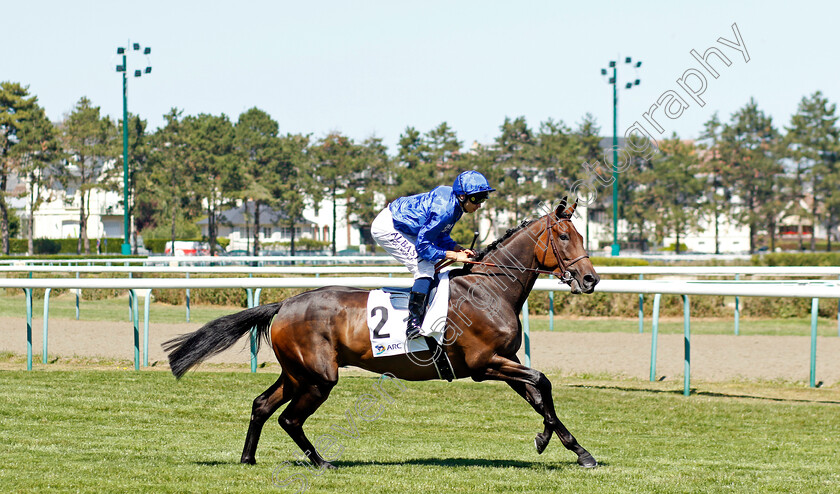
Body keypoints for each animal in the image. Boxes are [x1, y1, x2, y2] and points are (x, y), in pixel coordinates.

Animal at [162, 196, 596, 466]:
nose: (590, 279)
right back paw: (322, 463)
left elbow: (539, 397)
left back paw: (248, 458)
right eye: (563, 236)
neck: (488, 290)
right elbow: (543, 382)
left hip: (296, 373)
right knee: (289, 420)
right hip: (319, 377)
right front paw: (559, 445)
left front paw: (572, 448)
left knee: (261, 406)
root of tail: (284, 304)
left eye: (580, 235)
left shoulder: (505, 360)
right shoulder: (485, 363)